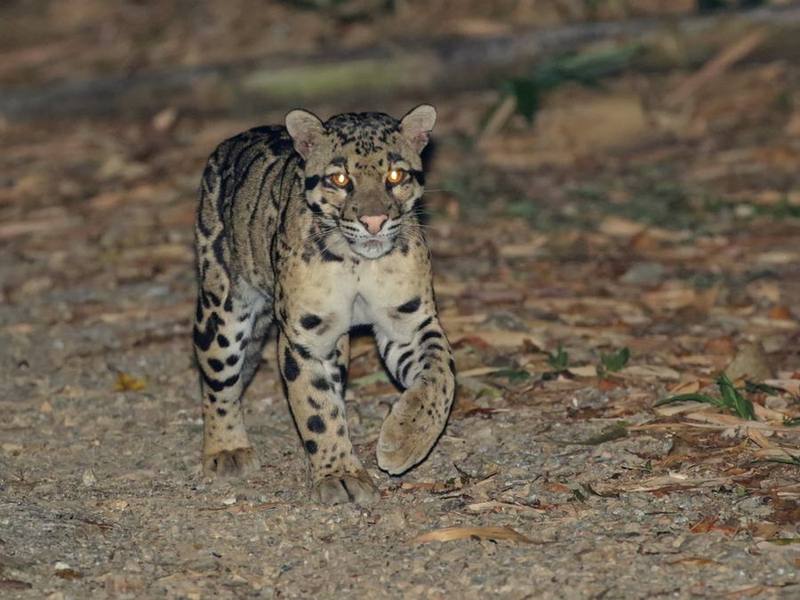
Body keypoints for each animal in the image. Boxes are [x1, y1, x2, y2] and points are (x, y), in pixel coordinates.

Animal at [193, 105, 456, 504]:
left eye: (395, 175)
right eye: (340, 178)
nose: (374, 221)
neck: (359, 263)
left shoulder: (409, 322)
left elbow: (441, 377)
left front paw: (405, 440)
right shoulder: (306, 337)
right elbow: (315, 406)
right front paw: (340, 474)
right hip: (222, 306)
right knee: (217, 381)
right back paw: (227, 448)